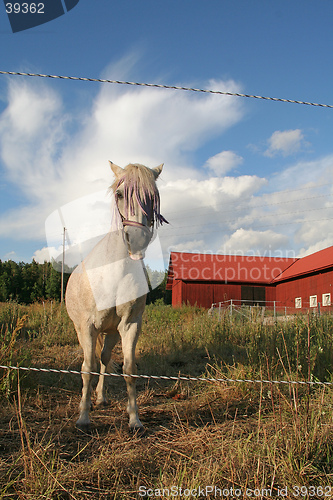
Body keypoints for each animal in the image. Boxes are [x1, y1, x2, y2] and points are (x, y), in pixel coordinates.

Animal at [65, 162, 166, 432]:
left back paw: (100, 398)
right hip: (82, 329)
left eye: (153, 197)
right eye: (120, 194)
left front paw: (134, 420)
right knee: (93, 361)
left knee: (104, 358)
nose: (137, 239)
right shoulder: (87, 327)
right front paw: (83, 417)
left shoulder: (130, 325)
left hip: (111, 332)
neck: (115, 272)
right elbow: (86, 368)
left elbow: (128, 369)